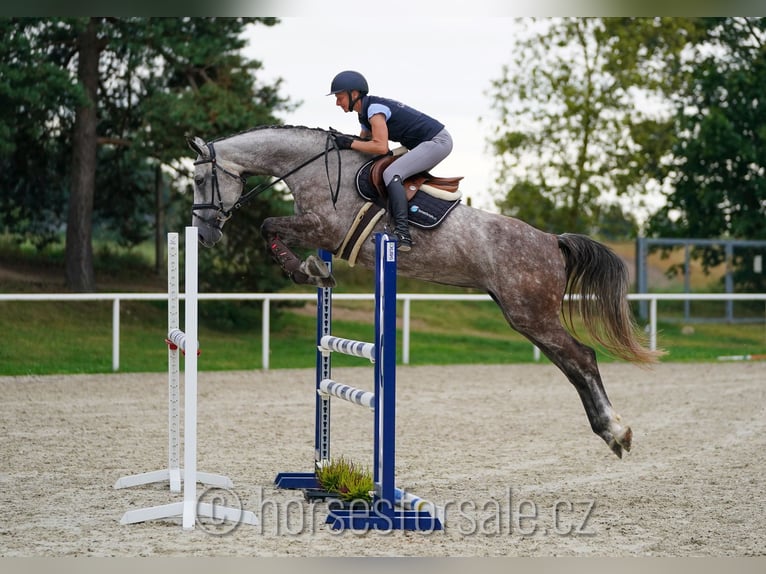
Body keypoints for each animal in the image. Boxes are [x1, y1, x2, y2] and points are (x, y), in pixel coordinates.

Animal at [188, 125, 664, 460]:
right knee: (571, 364)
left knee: (582, 358)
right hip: (524, 316)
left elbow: (268, 224)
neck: (311, 167)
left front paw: (308, 270)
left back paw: (616, 431)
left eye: (198, 181)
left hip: (532, 314)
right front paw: (313, 271)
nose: (205, 234)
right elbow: (273, 230)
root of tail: (552, 240)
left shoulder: (323, 227)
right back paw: (609, 432)